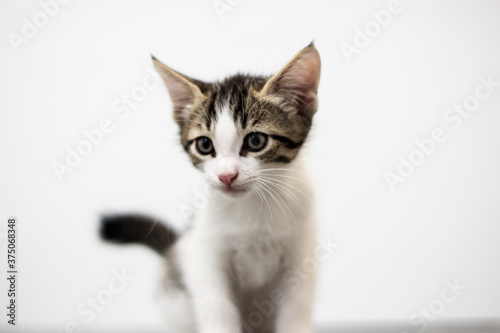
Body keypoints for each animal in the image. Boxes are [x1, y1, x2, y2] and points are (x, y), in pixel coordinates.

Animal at [101, 43, 320, 332]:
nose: (227, 175)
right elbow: (216, 308)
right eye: (204, 145)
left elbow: (296, 307)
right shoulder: (201, 251)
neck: (253, 208)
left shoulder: (301, 251)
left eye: (256, 140)